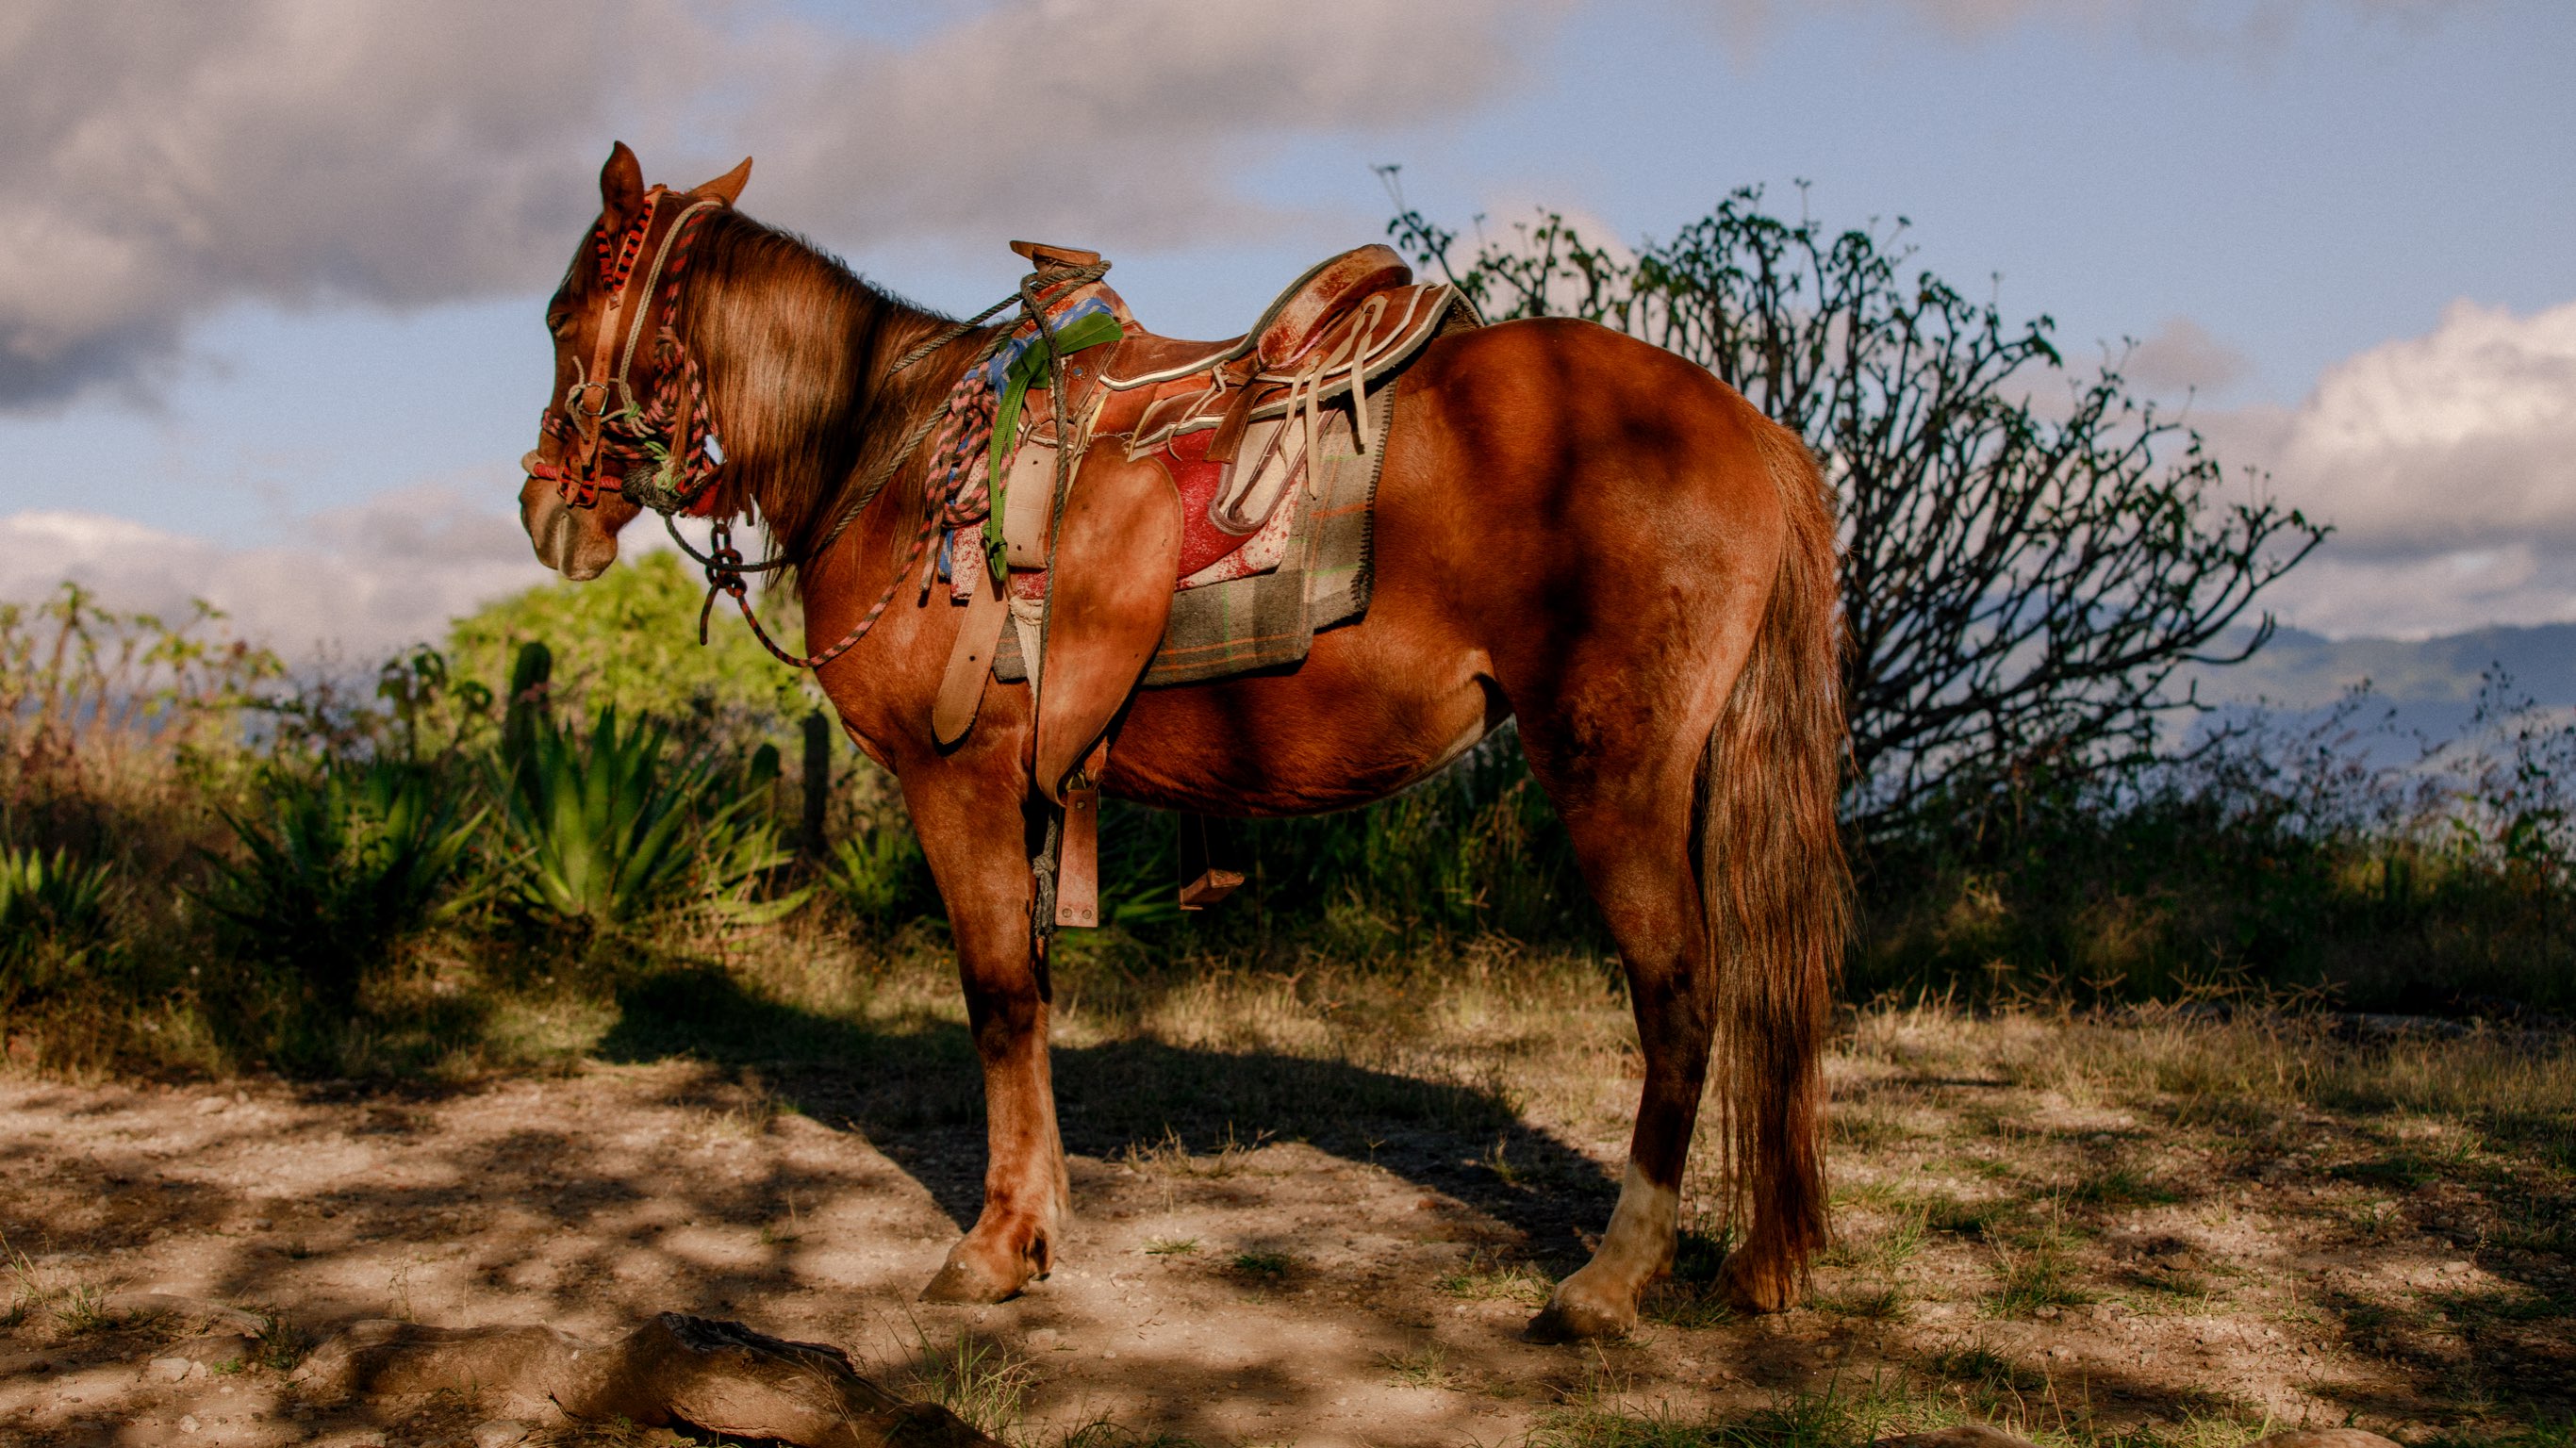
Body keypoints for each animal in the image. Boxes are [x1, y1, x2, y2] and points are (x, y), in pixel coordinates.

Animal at [516, 144, 1848, 1343]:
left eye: (560, 315)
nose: (543, 511)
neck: (886, 449)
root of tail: (1749, 427)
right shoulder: (1028, 797)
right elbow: (1034, 998)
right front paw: (1039, 1221)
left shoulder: (955, 782)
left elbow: (995, 999)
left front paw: (994, 1248)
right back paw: (1761, 1263)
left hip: (1614, 778)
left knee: (1680, 997)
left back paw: (1609, 1283)